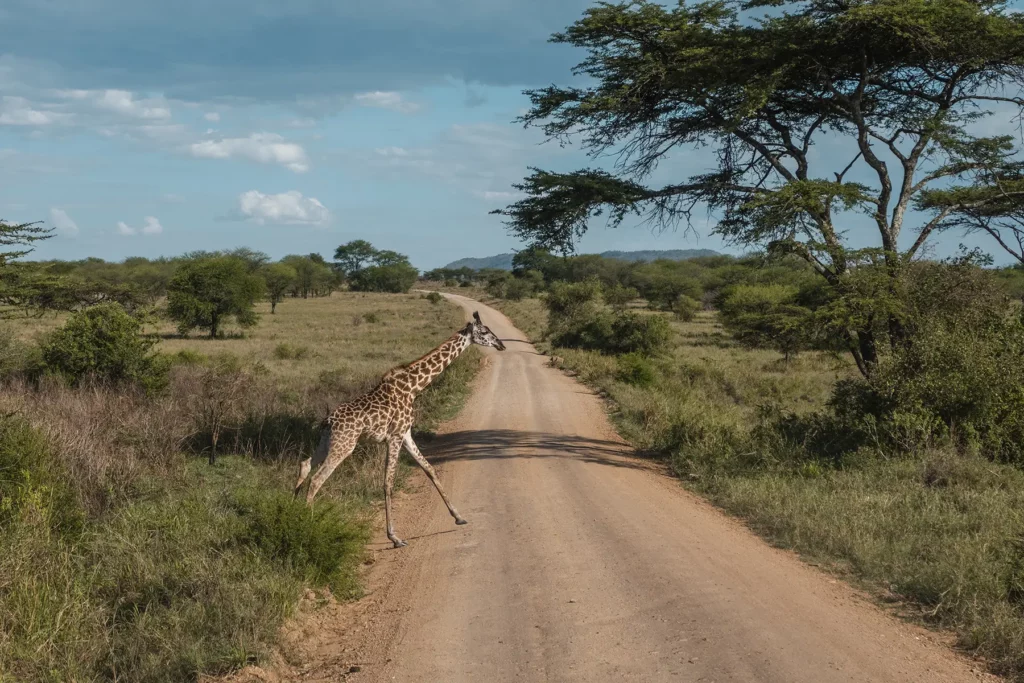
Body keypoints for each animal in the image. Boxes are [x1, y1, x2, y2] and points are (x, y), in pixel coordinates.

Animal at [294, 311, 506, 548]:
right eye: (485, 332)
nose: (501, 344)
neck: (413, 387)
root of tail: (328, 421)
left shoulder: (405, 434)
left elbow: (429, 469)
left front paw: (458, 516)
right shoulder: (394, 436)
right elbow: (388, 482)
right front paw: (394, 537)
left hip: (327, 442)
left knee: (304, 466)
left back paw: (293, 511)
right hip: (344, 445)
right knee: (317, 479)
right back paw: (308, 526)